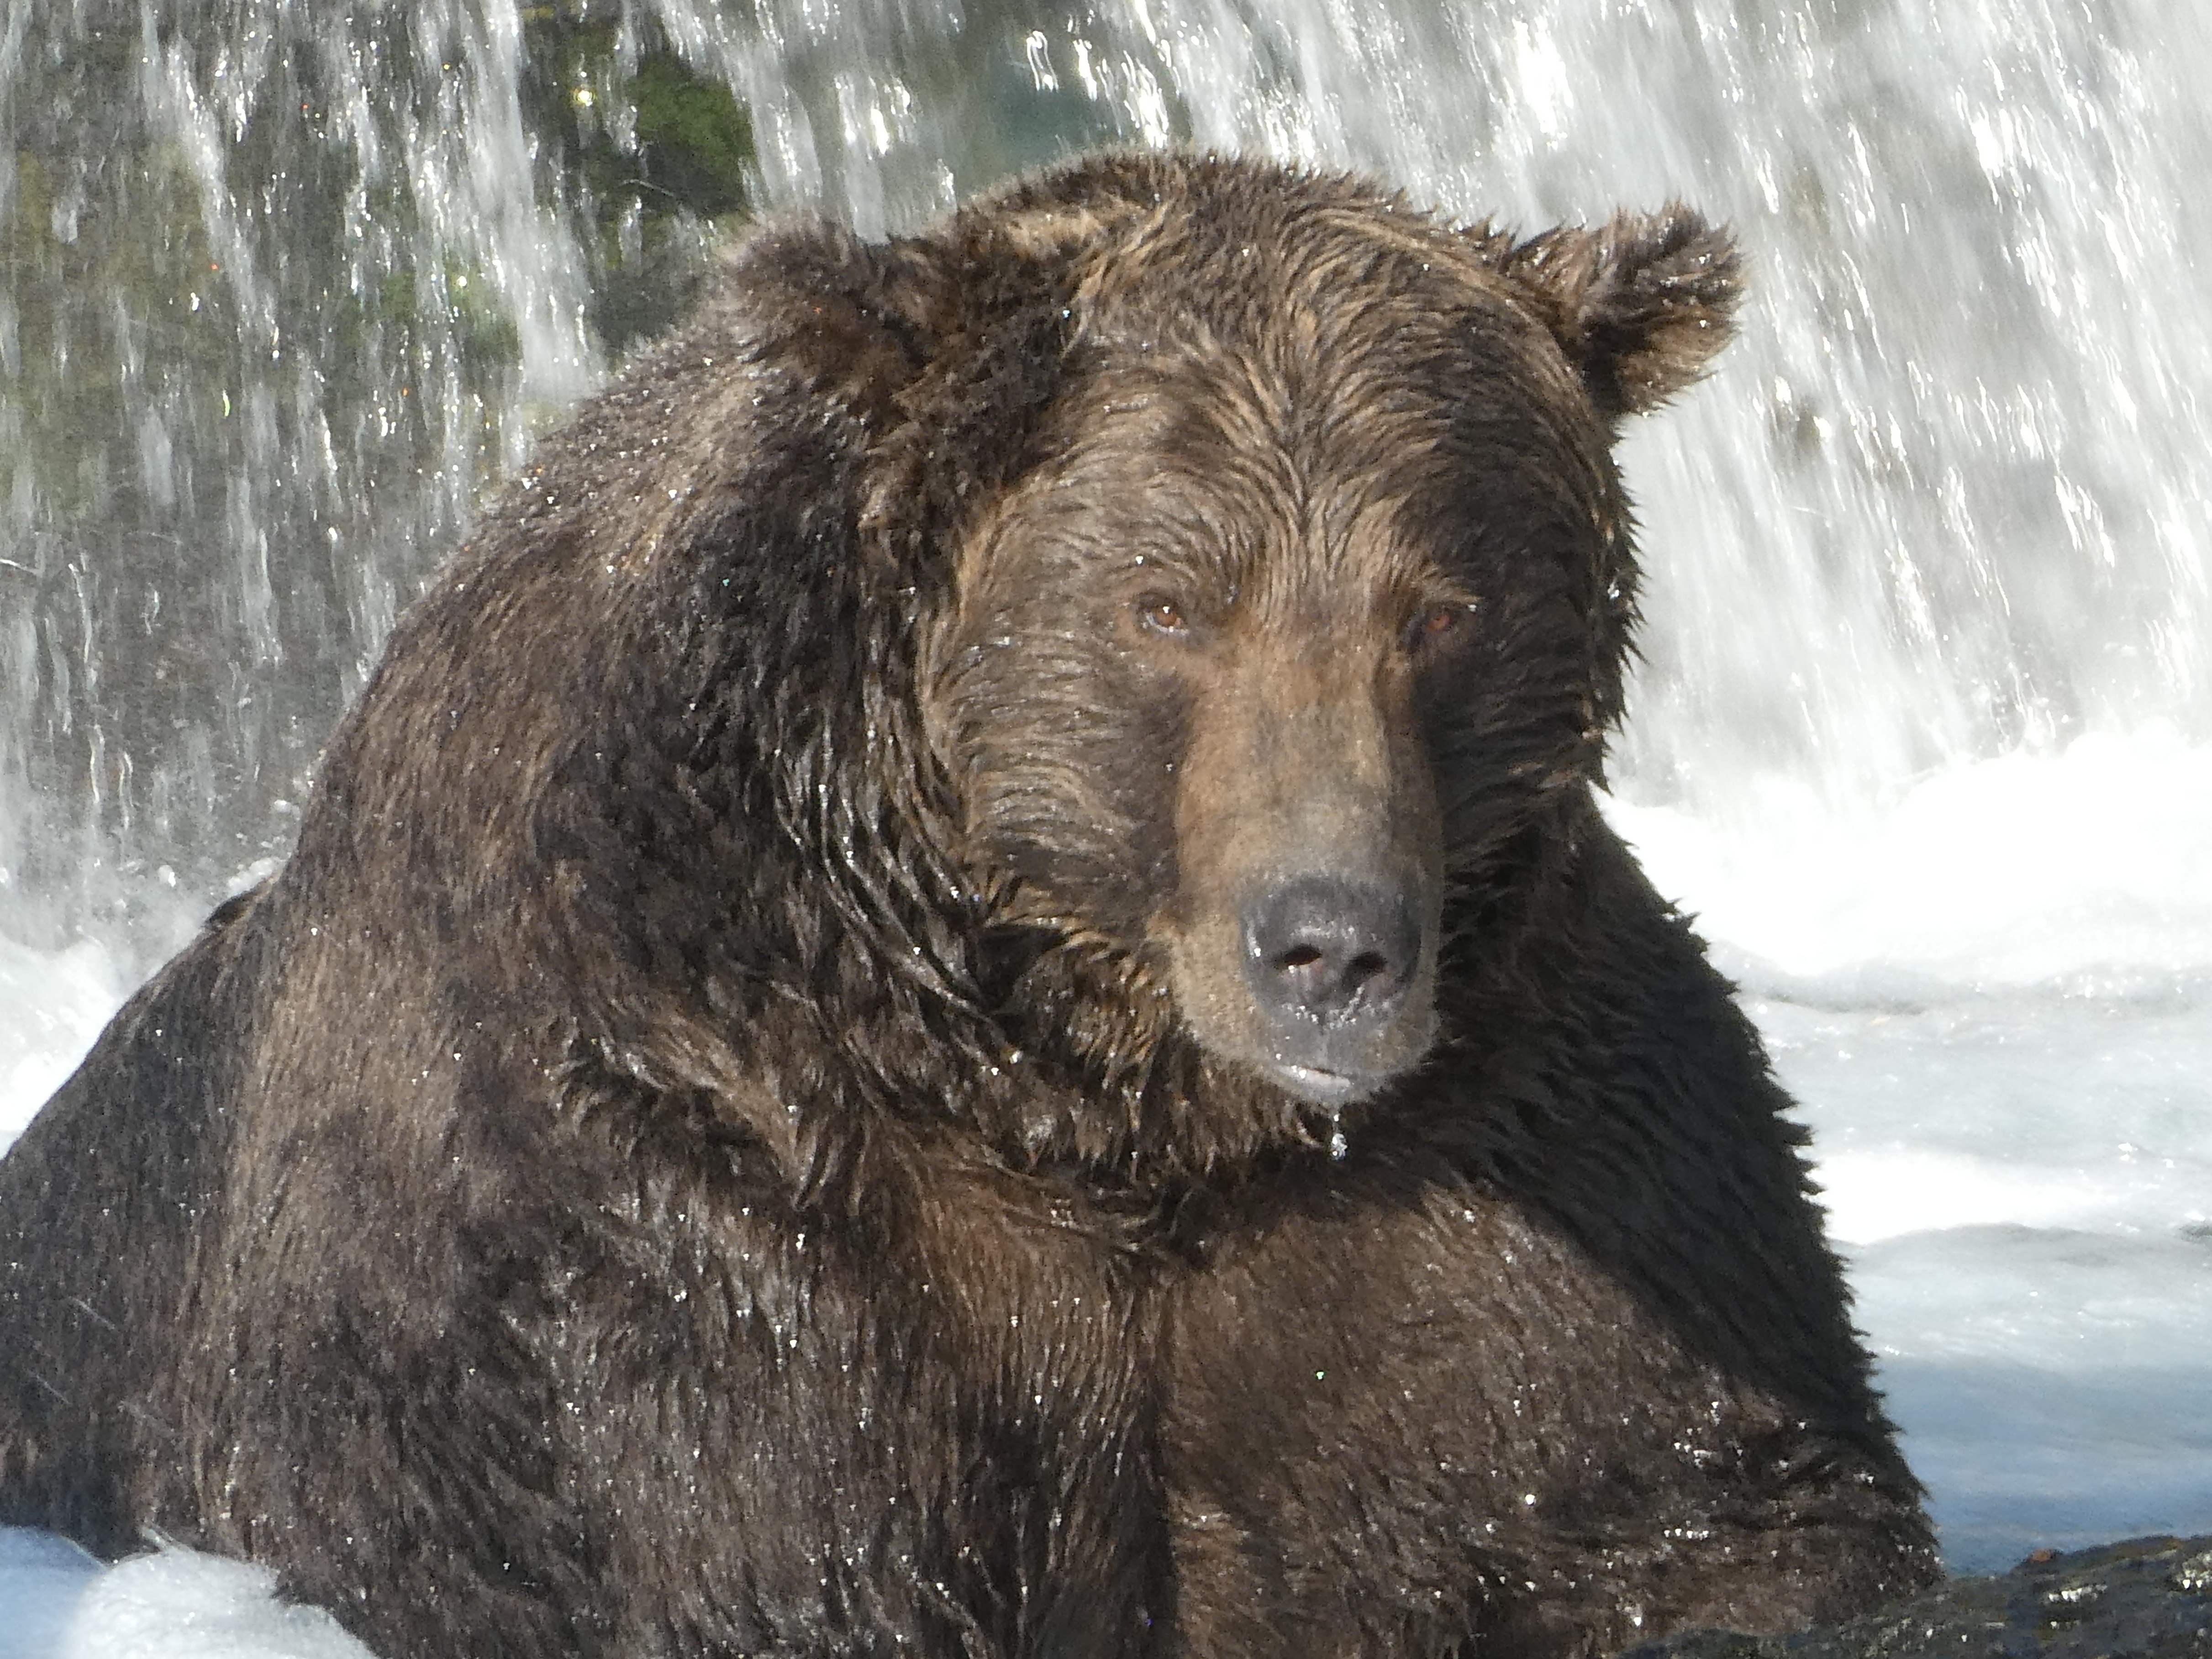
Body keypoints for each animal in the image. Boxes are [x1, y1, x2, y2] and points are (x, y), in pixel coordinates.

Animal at [0, 151, 1937, 1658]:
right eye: (1170, 601)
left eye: (1441, 603)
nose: (1329, 946)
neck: (1087, 1091)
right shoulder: (655, 1203)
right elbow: (741, 1547)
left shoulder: (1518, 1157)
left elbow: (1691, 1514)